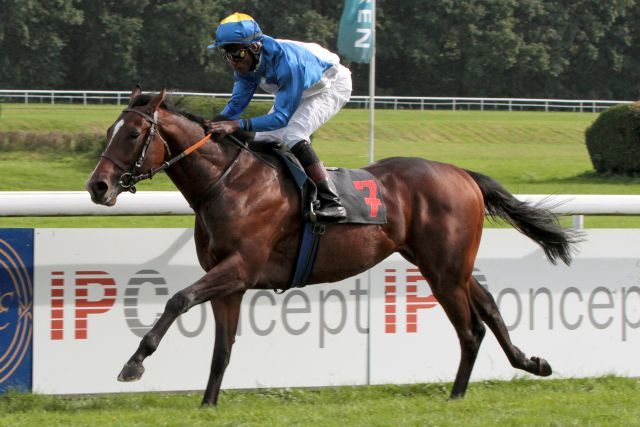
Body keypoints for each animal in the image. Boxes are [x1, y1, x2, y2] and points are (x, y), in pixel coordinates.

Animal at [86, 87, 580, 408]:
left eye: (132, 135)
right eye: (109, 129)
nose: (97, 186)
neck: (228, 183)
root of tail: (462, 174)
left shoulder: (240, 267)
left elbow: (177, 299)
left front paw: (134, 364)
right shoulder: (230, 283)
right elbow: (222, 349)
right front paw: (207, 405)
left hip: (443, 268)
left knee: (471, 328)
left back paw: (458, 397)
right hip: (445, 264)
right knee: (490, 306)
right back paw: (528, 364)